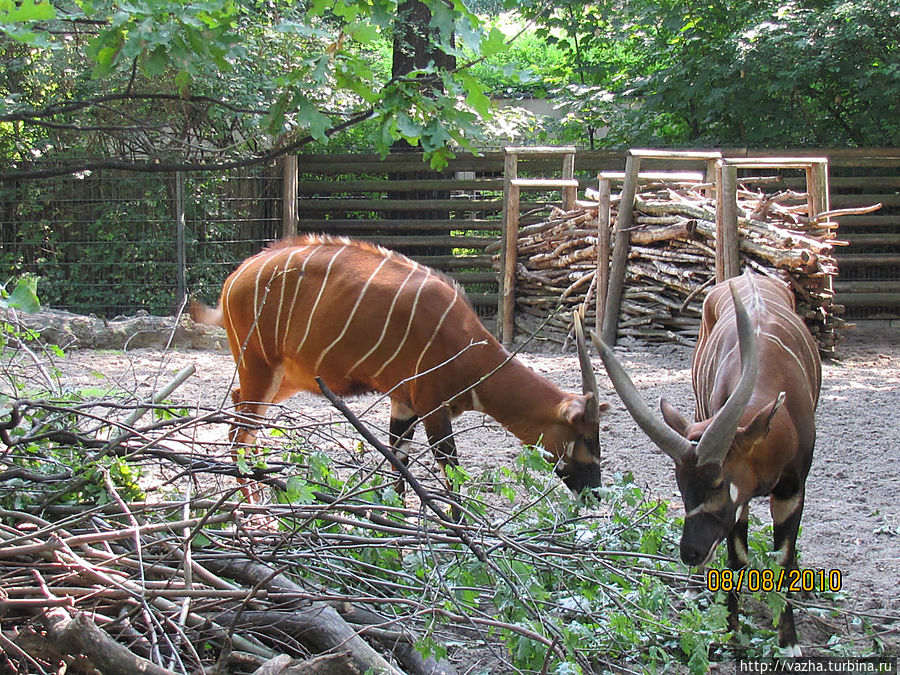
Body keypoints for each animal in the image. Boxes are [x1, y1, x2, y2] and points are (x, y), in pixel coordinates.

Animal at [192, 238, 608, 508]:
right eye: (587, 438)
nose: (595, 493)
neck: (466, 343)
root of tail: (234, 279)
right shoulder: (432, 408)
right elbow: (451, 476)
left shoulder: (403, 405)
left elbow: (398, 464)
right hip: (260, 368)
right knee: (240, 432)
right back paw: (255, 516)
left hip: (283, 378)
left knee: (238, 418)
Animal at [592, 270, 824, 656]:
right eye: (680, 485)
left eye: (717, 482)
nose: (690, 552)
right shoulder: (740, 503)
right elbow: (737, 558)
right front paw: (731, 632)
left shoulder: (791, 490)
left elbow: (782, 560)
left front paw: (788, 643)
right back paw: (693, 586)